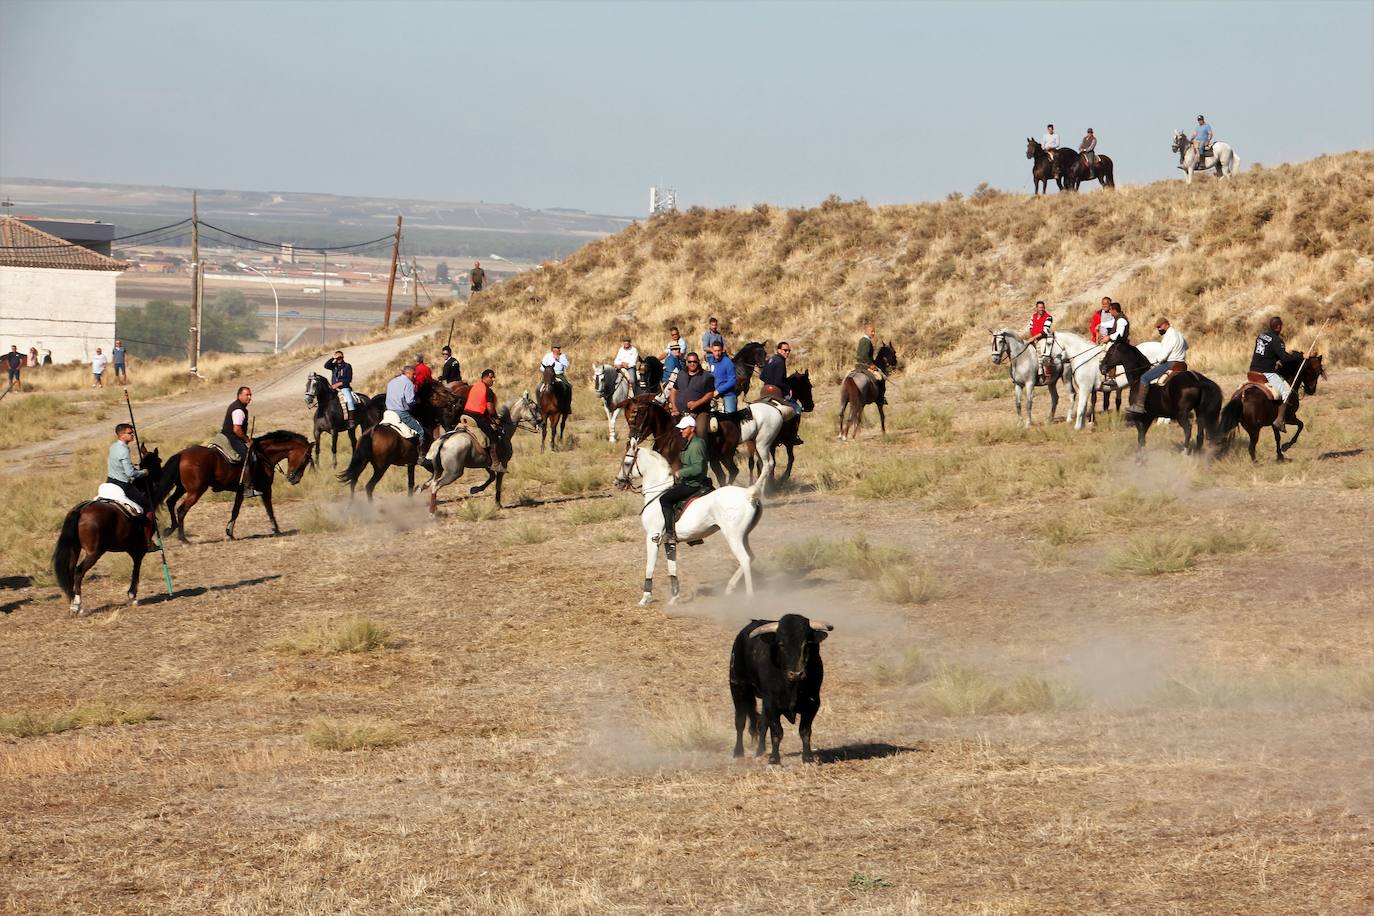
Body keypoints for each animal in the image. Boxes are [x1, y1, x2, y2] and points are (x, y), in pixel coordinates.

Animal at [51, 444, 162, 612]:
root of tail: (81, 510)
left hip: (74, 549)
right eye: (159, 461)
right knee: (78, 571)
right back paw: (78, 605)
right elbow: (136, 570)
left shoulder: (131, 549)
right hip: (94, 553)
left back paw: (72, 604)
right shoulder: (139, 550)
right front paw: (132, 596)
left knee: (70, 571)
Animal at [159, 431, 313, 543]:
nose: (294, 479)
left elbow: (235, 511)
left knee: (170, 502)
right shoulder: (266, 488)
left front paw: (230, 533)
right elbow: (269, 509)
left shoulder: (241, 491)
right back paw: (183, 538)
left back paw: (170, 529)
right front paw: (276, 530)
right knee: (181, 509)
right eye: (306, 458)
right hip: (195, 491)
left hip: (182, 488)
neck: (263, 456)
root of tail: (181, 454)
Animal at [612, 444, 763, 604]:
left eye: (627, 463)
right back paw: (729, 588)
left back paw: (748, 599)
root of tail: (748, 495)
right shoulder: (669, 541)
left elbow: (650, 567)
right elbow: (672, 568)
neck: (658, 493)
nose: (617, 482)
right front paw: (674, 597)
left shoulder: (652, 538)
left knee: (745, 560)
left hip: (733, 537)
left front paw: (645, 598)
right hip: (743, 536)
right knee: (750, 558)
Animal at [736, 615, 829, 769]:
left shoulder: (813, 703)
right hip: (738, 687)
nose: (796, 674)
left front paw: (808, 758)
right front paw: (774, 760)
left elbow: (805, 731)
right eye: (781, 644)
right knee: (740, 722)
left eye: (806, 644)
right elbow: (777, 732)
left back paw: (760, 752)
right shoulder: (772, 704)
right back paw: (738, 753)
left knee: (762, 724)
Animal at [1099, 339, 1231, 455]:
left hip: (1181, 414)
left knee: (1188, 429)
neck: (1138, 378)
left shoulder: (1140, 417)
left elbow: (1140, 437)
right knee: (1200, 433)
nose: (1101, 367)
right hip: (1200, 412)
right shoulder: (1150, 416)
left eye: (1110, 352)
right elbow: (1142, 438)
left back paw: (1185, 451)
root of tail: (1197, 379)